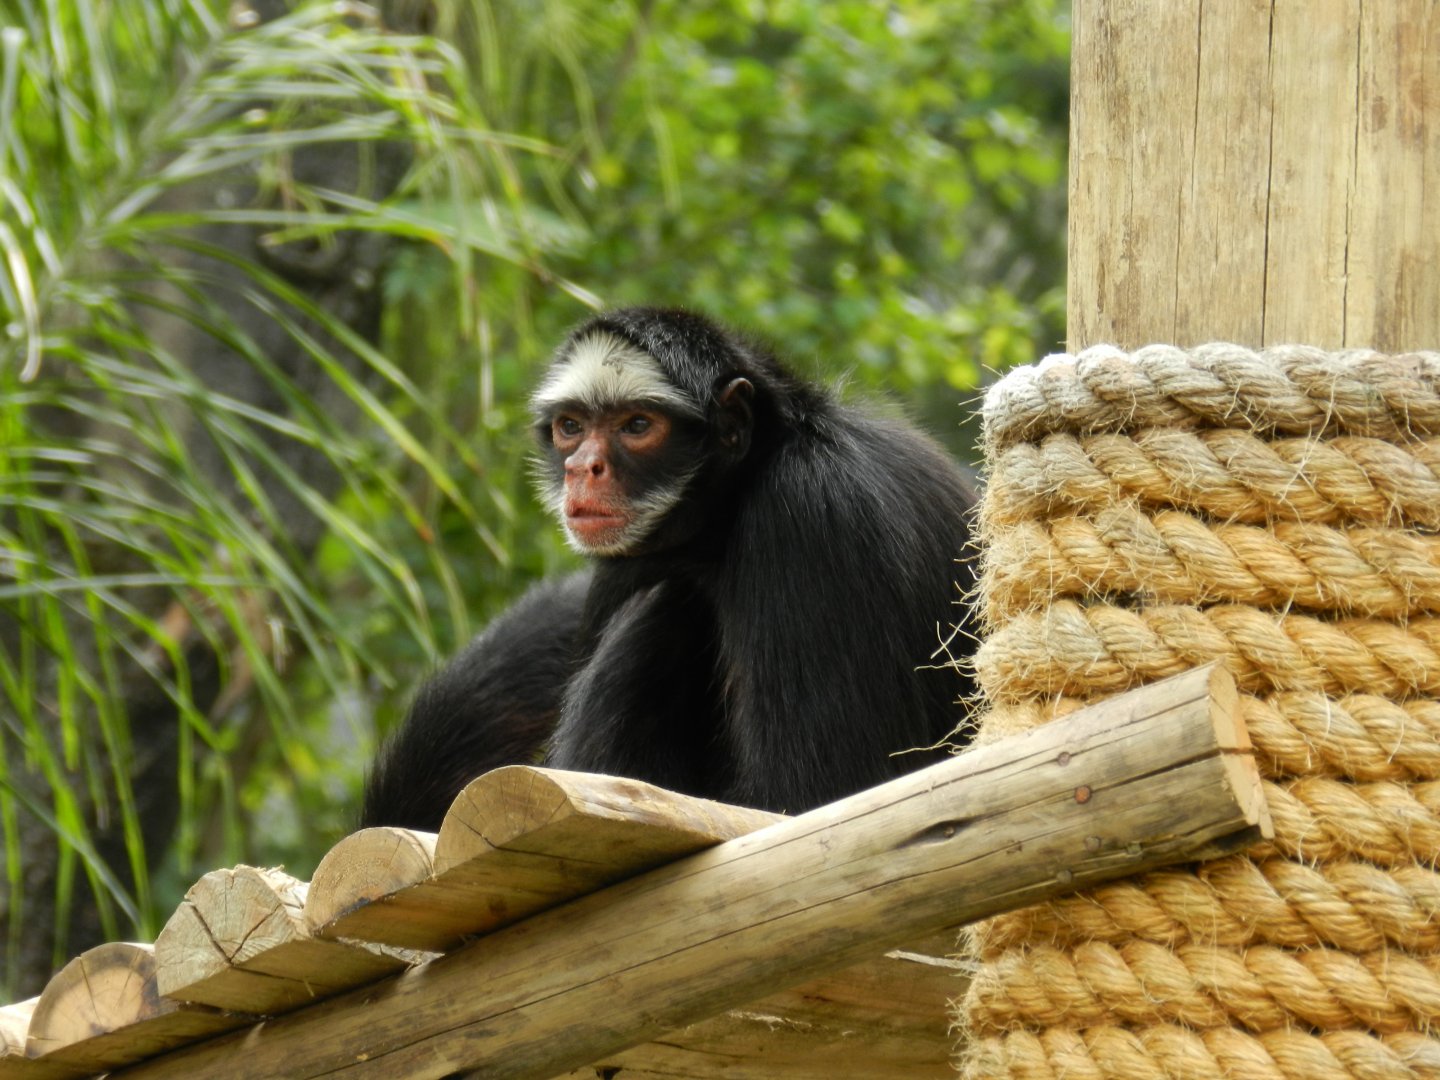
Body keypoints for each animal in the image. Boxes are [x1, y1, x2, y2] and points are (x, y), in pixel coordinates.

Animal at [362, 307, 979, 829]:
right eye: (571, 426)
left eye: (637, 425)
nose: (584, 467)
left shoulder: (813, 514)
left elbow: (810, 800)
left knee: (666, 608)